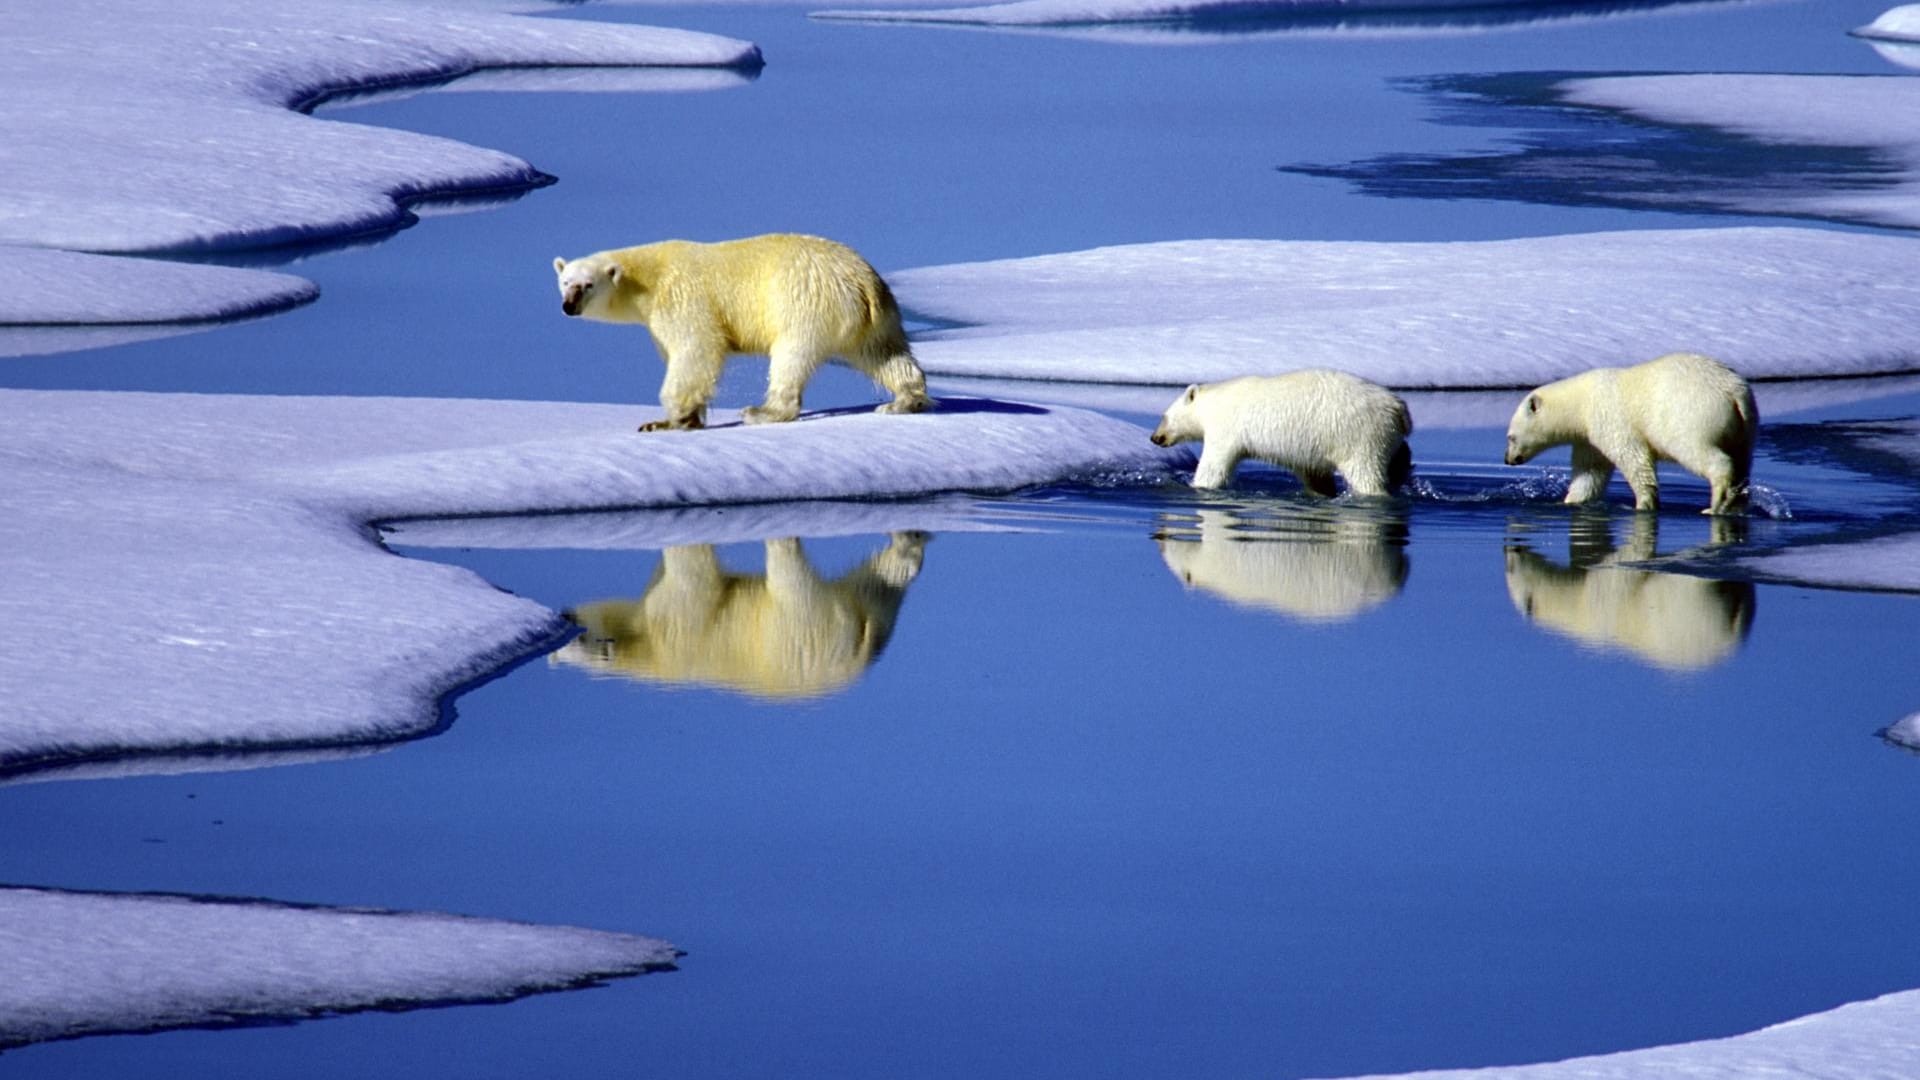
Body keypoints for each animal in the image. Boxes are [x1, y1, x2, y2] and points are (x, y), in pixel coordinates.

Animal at [552, 231, 933, 428]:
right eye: (565, 281)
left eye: (587, 285)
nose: (568, 306)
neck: (648, 278)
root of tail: (863, 281)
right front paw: (688, 418)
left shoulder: (680, 297)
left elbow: (696, 350)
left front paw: (666, 420)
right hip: (878, 316)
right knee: (884, 353)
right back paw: (904, 401)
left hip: (804, 301)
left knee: (791, 356)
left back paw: (762, 412)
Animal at [552, 530, 925, 699]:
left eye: (579, 639)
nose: (565, 612)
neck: (650, 652)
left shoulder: (677, 627)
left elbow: (692, 577)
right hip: (866, 615)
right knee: (878, 583)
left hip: (801, 632)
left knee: (790, 581)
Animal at [1152, 365, 1413, 491]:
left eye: (1164, 416)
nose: (1155, 437)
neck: (1215, 401)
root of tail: (1397, 406)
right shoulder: (1306, 452)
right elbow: (1314, 475)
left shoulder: (1227, 428)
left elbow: (1214, 466)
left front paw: (1196, 485)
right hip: (1385, 434)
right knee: (1399, 456)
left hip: (1360, 435)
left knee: (1365, 472)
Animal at [1505, 349, 1758, 507]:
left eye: (1511, 437)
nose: (1508, 459)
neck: (1581, 402)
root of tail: (1734, 392)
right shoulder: (1589, 438)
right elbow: (1590, 472)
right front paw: (1571, 500)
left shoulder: (1609, 418)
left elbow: (1633, 457)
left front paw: (1644, 502)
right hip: (1745, 427)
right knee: (1742, 461)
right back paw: (1735, 500)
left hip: (1692, 416)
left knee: (1699, 451)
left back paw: (1716, 502)